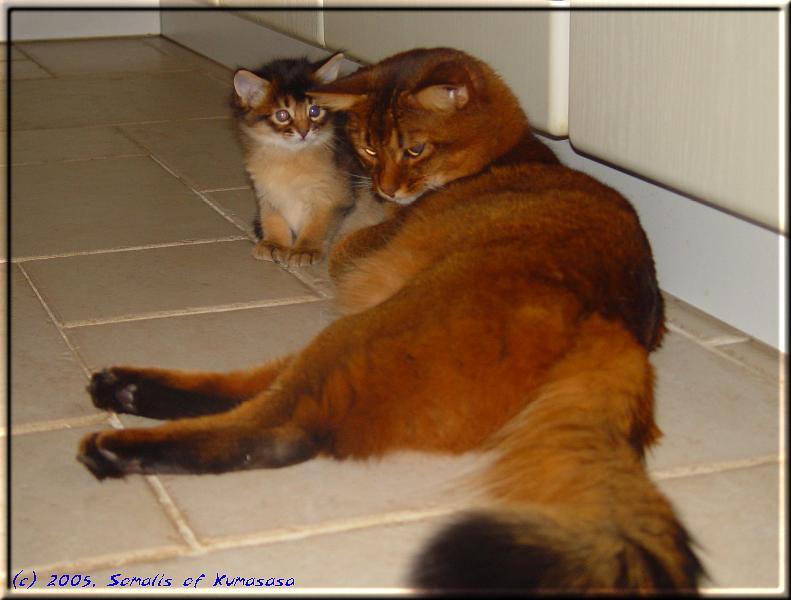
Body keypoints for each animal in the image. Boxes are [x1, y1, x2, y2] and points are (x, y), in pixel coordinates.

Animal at [230, 51, 382, 268]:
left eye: (314, 111)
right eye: (282, 115)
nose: (303, 132)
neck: (288, 159)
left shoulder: (333, 197)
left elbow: (318, 226)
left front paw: (305, 249)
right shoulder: (266, 192)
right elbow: (272, 218)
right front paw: (275, 244)